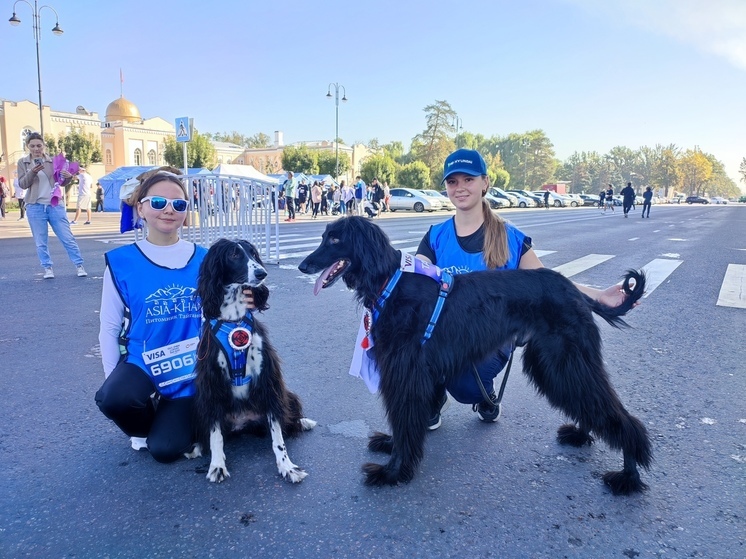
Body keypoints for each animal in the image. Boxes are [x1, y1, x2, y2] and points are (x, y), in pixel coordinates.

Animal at [189, 238, 314, 484]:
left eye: (254, 253)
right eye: (234, 254)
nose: (261, 273)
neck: (234, 319)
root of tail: (242, 421)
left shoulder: (268, 379)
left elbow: (277, 435)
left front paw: (287, 467)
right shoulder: (211, 381)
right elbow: (215, 434)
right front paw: (217, 465)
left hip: (285, 395)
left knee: (286, 417)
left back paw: (302, 422)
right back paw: (197, 447)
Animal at [300, 217, 648, 496]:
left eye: (335, 239)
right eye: (324, 236)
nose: (304, 266)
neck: (390, 282)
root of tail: (578, 292)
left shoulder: (406, 373)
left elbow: (404, 419)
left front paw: (393, 472)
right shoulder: (411, 373)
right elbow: (404, 422)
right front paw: (391, 449)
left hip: (565, 360)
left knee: (616, 413)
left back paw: (628, 475)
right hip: (557, 364)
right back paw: (581, 434)